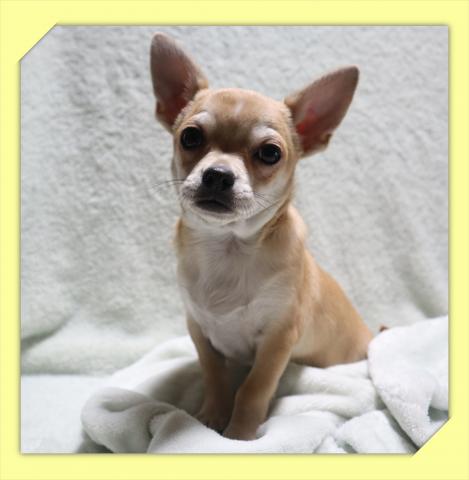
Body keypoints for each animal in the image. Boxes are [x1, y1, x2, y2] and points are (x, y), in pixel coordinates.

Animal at [150, 33, 373, 441]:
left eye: (270, 153)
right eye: (190, 137)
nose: (218, 175)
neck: (228, 248)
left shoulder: (278, 338)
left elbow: (254, 387)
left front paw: (239, 434)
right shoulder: (200, 331)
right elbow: (215, 377)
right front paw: (210, 418)